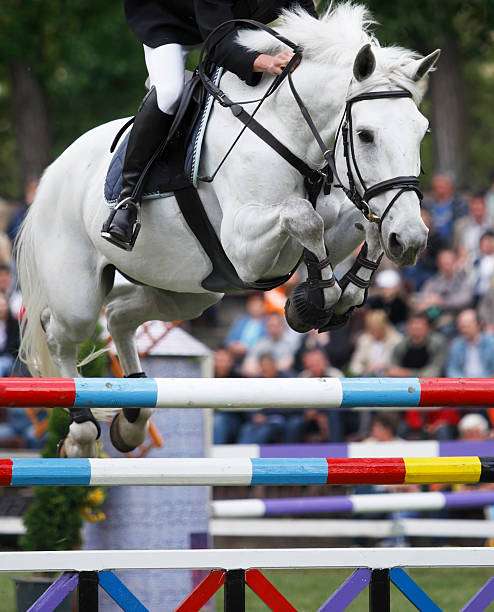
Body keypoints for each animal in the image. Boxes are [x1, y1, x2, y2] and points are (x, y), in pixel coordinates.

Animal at [15, 2, 440, 456]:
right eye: (365, 135)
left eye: (421, 132)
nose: (412, 241)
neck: (290, 131)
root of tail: (51, 173)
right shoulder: (244, 246)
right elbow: (304, 217)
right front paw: (315, 300)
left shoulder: (334, 222)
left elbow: (361, 226)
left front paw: (344, 294)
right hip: (78, 295)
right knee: (61, 336)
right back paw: (80, 433)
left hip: (190, 290)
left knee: (119, 316)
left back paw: (132, 419)